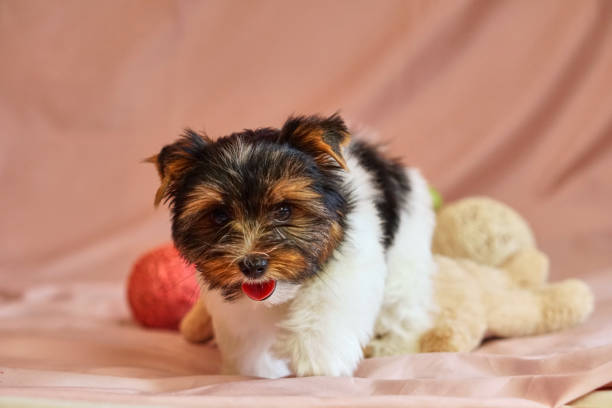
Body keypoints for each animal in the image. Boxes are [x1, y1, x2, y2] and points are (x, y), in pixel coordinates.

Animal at [149, 113, 436, 378]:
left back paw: (392, 346)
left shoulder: (351, 260)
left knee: (403, 309)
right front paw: (251, 368)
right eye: (219, 216)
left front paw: (315, 360)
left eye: (284, 210)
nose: (252, 265)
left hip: (407, 252)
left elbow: (328, 301)